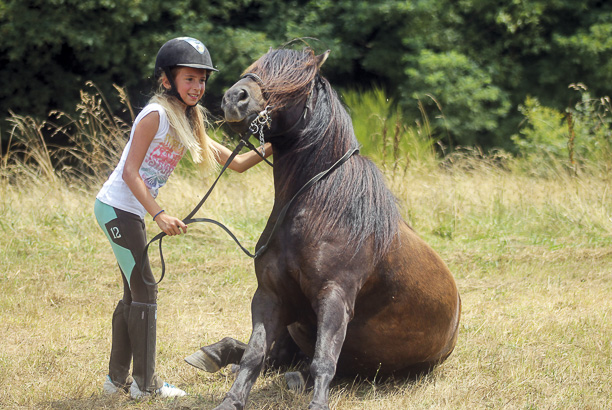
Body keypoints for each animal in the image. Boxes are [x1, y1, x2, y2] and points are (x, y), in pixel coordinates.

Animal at [186, 48, 460, 410]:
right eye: (255, 68)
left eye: (295, 82)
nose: (234, 98)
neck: (318, 208)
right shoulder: (270, 295)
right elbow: (255, 355)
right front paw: (231, 401)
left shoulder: (334, 298)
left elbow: (324, 362)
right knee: (275, 356)